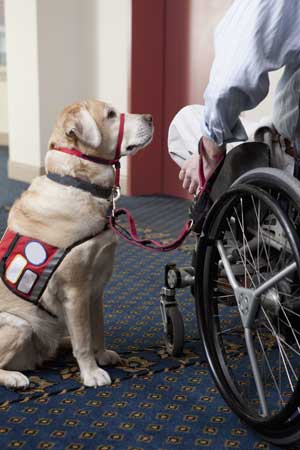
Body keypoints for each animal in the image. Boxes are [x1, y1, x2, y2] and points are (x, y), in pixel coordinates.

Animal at [0, 100, 154, 388]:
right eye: (111, 115)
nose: (150, 117)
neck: (79, 184)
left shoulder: (96, 289)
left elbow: (97, 329)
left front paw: (101, 355)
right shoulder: (76, 291)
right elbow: (84, 338)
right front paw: (91, 372)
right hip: (20, 325)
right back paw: (15, 377)